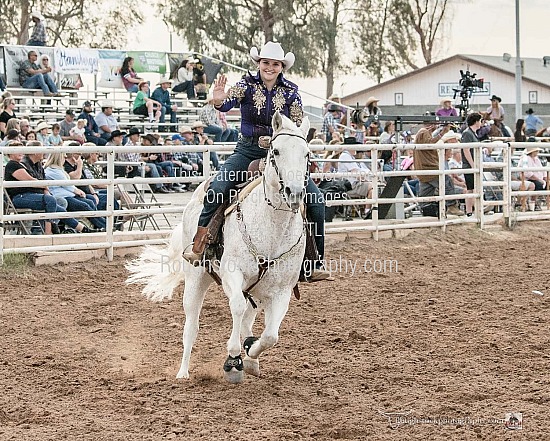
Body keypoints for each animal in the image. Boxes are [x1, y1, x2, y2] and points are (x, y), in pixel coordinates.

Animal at [126, 112, 312, 382]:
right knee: (192, 326)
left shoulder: (282, 291)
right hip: (196, 279)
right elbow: (236, 308)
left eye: (307, 153)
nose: (294, 192)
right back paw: (183, 372)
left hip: (255, 291)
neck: (271, 228)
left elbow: (270, 335)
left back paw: (250, 357)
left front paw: (250, 352)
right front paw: (233, 357)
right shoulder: (232, 274)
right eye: (276, 151)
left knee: (247, 319)